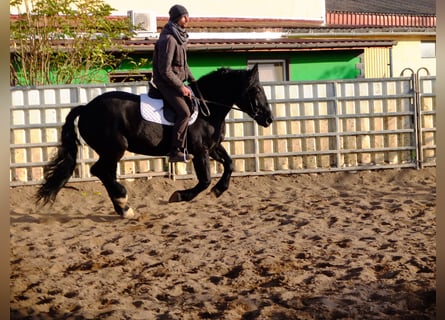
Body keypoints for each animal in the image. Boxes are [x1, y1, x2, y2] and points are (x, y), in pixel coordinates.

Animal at [37, 65, 274, 218]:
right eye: (256, 90)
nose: (269, 118)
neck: (208, 108)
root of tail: (86, 108)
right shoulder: (200, 151)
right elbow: (205, 180)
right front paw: (180, 195)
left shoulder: (213, 148)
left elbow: (230, 164)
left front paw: (219, 190)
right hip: (114, 149)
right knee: (100, 171)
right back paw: (124, 204)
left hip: (111, 152)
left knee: (106, 173)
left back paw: (122, 207)